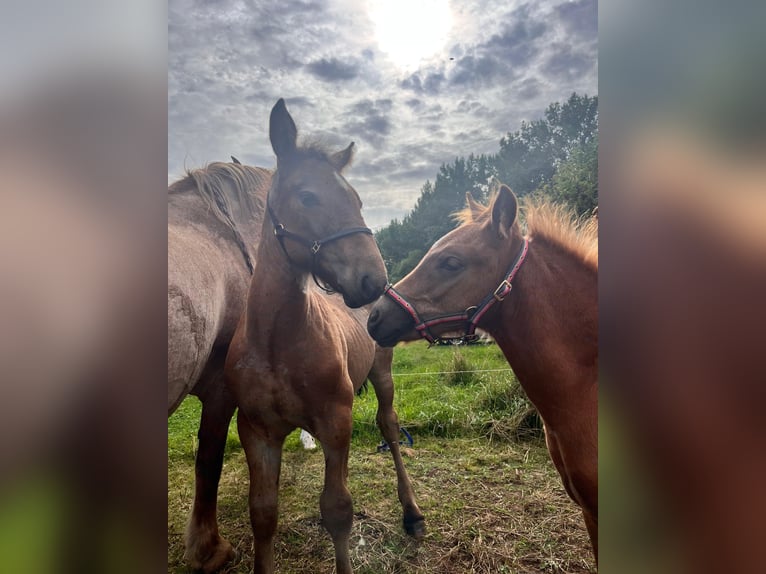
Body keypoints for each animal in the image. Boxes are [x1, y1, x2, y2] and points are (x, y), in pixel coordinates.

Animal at [225, 99, 425, 574]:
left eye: (357, 199)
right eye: (307, 195)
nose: (374, 281)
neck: (277, 342)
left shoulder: (337, 421)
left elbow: (337, 510)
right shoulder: (256, 431)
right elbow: (263, 515)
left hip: (383, 374)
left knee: (390, 428)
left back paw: (412, 513)